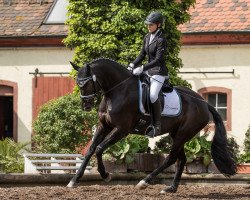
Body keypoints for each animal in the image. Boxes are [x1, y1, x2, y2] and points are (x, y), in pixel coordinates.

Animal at [67, 58, 236, 194]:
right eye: (78, 83)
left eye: (87, 83)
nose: (86, 106)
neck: (117, 90)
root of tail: (204, 103)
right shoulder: (104, 126)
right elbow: (90, 150)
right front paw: (74, 180)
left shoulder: (122, 129)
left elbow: (99, 148)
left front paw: (106, 175)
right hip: (177, 134)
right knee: (181, 159)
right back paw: (171, 188)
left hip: (183, 134)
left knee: (171, 158)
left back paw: (144, 182)